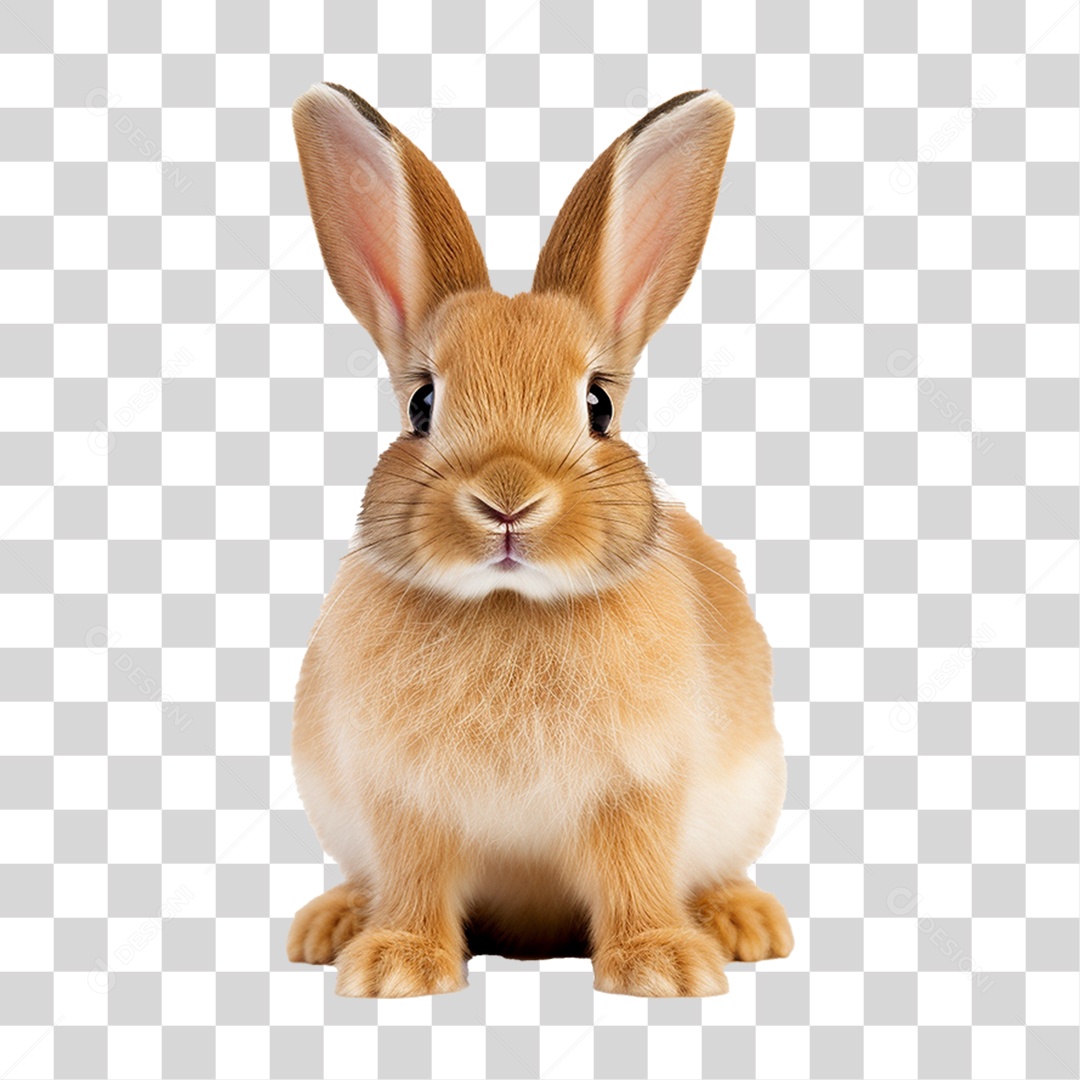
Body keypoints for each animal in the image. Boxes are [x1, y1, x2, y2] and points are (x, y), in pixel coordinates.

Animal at [285, 82, 792, 998]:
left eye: (599, 405)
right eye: (421, 405)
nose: (508, 502)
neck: (509, 603)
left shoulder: (639, 787)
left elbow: (634, 871)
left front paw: (662, 968)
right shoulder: (403, 798)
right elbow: (415, 876)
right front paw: (395, 967)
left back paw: (743, 921)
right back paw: (332, 924)